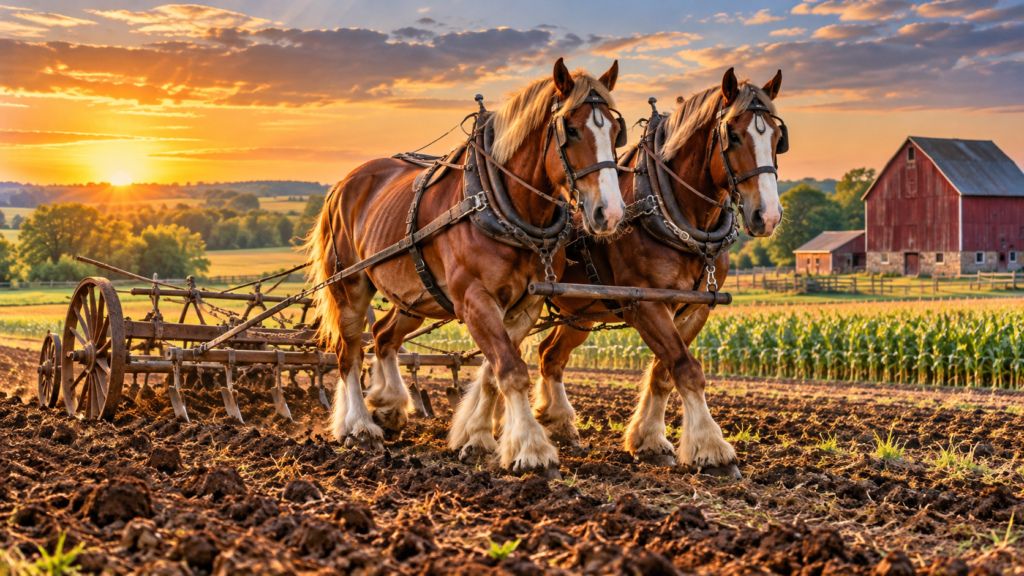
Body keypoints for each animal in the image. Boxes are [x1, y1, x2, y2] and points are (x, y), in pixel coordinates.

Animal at [305, 58, 625, 478]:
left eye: (616, 131)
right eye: (570, 130)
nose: (611, 213)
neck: (502, 205)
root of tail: (344, 183)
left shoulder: (524, 306)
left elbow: (495, 370)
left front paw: (477, 438)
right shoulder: (474, 299)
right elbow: (511, 370)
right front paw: (532, 449)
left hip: (414, 296)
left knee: (384, 335)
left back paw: (389, 405)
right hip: (350, 285)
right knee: (350, 351)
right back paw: (358, 426)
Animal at [533, 68, 786, 478]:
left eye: (778, 138)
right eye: (732, 135)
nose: (768, 216)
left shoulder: (693, 308)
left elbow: (665, 373)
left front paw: (649, 441)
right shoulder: (646, 304)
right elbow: (686, 368)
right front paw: (714, 450)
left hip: (581, 311)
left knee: (549, 355)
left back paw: (559, 424)